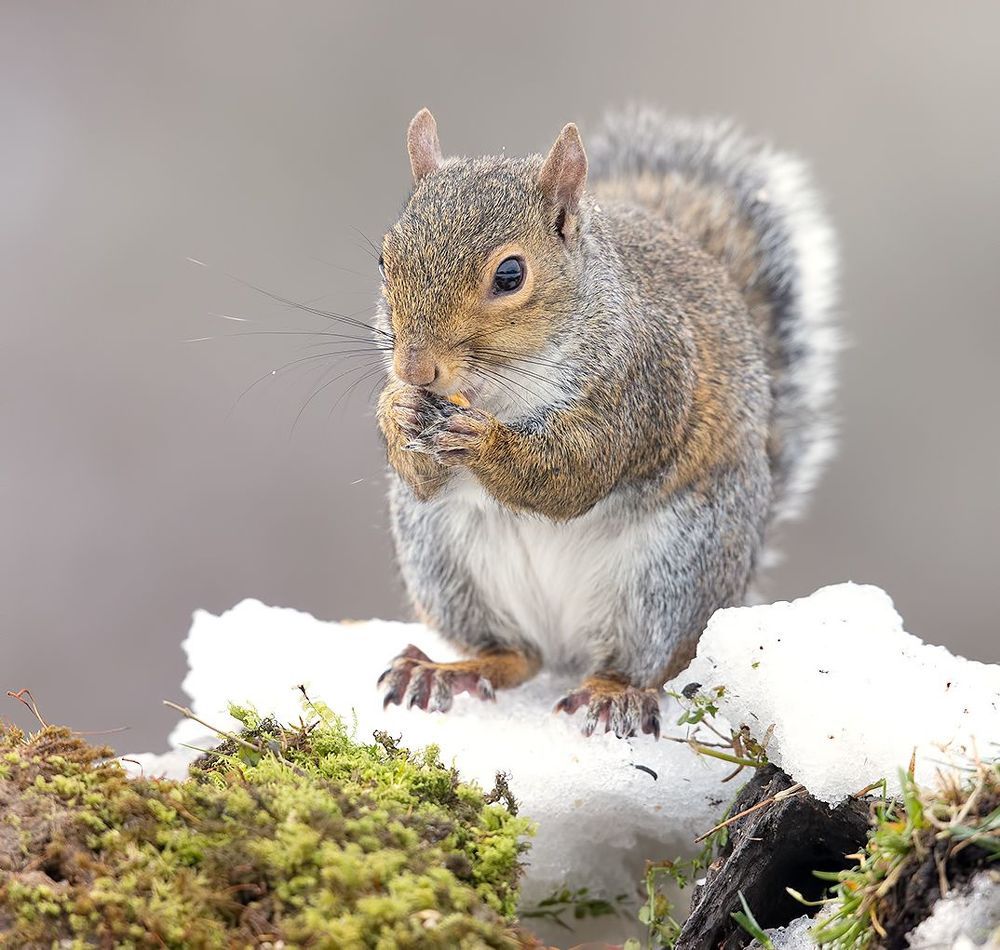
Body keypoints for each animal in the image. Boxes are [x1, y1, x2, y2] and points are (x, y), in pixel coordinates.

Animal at [374, 106, 837, 739]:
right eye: (383, 260)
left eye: (511, 274)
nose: (415, 369)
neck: (501, 392)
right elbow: (420, 474)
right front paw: (396, 411)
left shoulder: (644, 383)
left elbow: (577, 473)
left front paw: (484, 442)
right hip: (443, 560)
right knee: (514, 655)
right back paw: (449, 671)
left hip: (672, 572)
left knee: (644, 663)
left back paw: (612, 694)